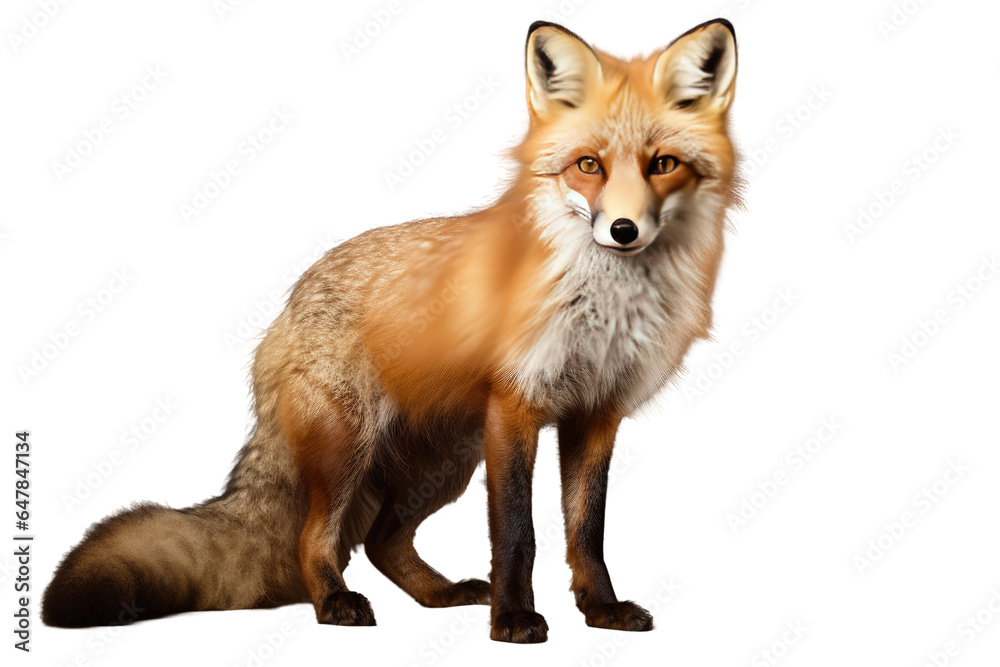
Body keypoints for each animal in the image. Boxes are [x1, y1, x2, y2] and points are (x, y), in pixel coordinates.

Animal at [43, 18, 740, 643]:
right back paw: (334, 603)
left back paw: (441, 594)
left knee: (382, 541)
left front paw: (601, 610)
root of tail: (286, 307)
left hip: (447, 460)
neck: (606, 308)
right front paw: (514, 622)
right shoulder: (516, 410)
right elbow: (518, 533)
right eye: (588, 165)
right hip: (351, 446)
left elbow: (585, 532)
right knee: (315, 539)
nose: (623, 230)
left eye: (664, 164)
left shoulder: (596, 414)